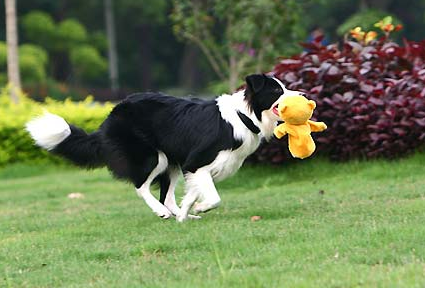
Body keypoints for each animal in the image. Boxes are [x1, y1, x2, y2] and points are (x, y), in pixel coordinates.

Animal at [25, 75, 304, 223]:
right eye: (277, 90)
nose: (301, 94)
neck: (244, 115)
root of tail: (109, 116)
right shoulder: (196, 163)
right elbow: (214, 198)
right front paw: (200, 208)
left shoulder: (194, 168)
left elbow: (190, 195)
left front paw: (186, 214)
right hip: (152, 157)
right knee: (142, 187)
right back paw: (161, 212)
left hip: (171, 162)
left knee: (166, 195)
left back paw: (178, 215)